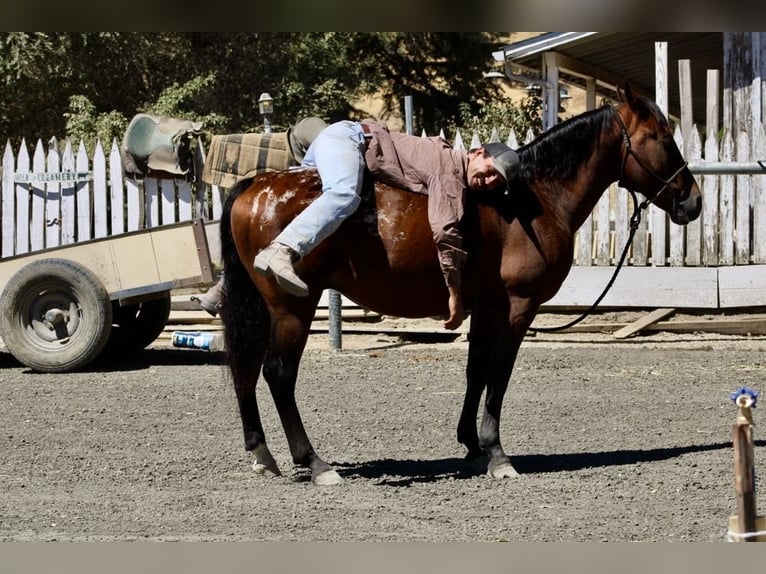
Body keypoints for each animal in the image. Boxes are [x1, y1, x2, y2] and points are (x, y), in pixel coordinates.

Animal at [218, 85, 702, 486]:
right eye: (663, 138)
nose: (692, 200)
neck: (532, 200)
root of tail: (255, 186)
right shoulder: (519, 307)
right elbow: (499, 375)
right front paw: (497, 455)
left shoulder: (486, 307)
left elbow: (476, 371)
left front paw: (471, 445)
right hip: (292, 309)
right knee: (278, 374)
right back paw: (315, 463)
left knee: (245, 369)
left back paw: (262, 454)